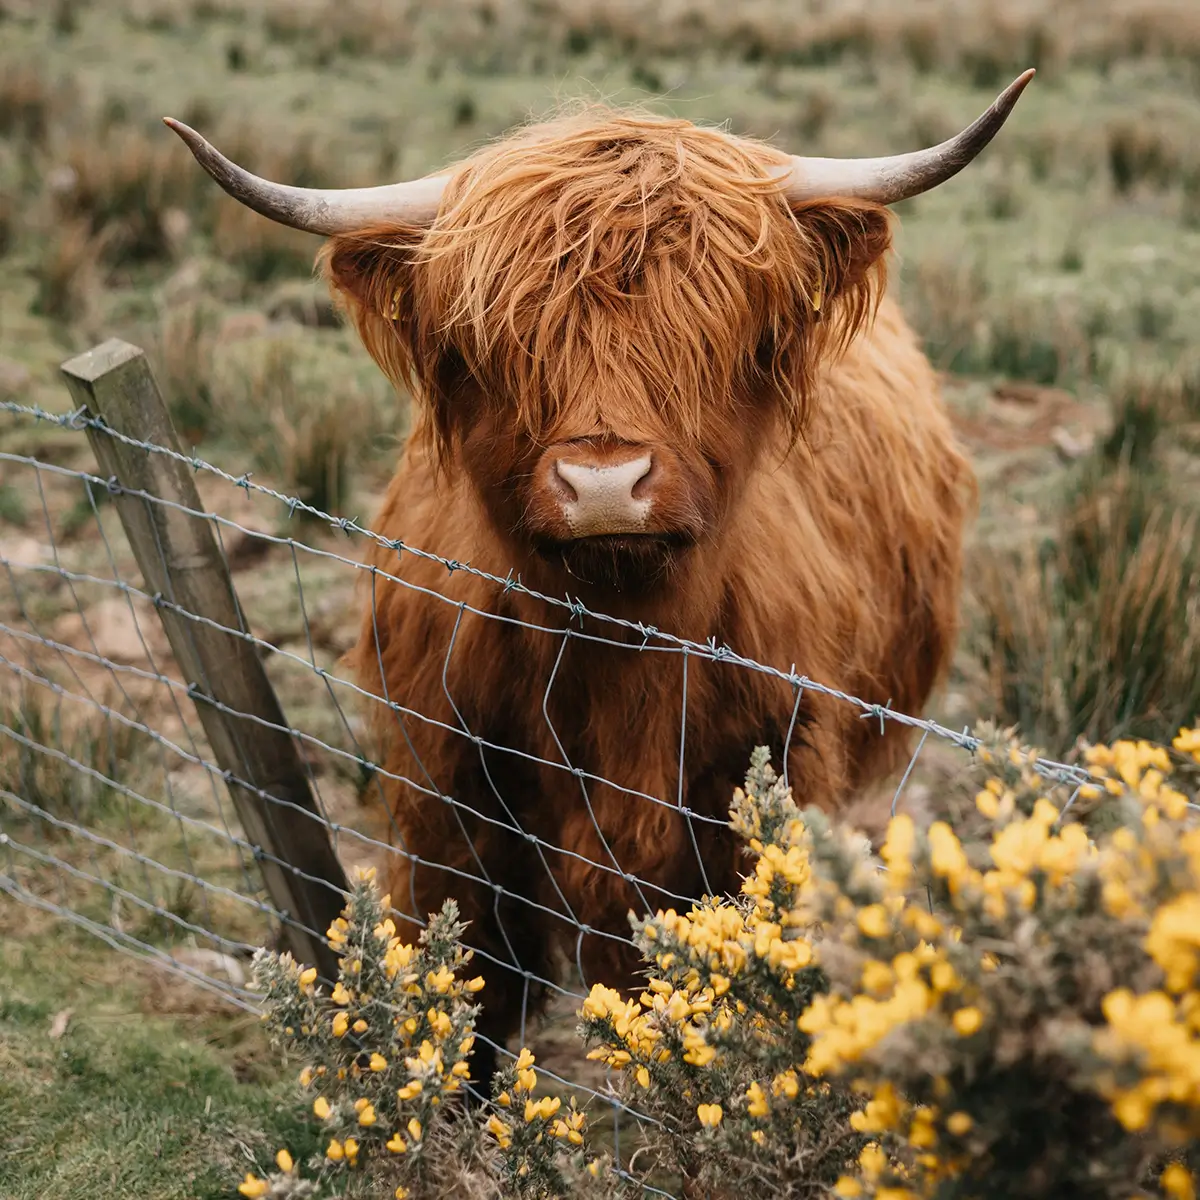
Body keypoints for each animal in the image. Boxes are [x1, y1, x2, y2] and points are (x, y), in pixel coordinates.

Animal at [167, 70, 1033, 1097]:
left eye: (715, 332)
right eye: (498, 340)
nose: (606, 484)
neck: (615, 657)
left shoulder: (763, 793)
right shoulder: (451, 806)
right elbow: (474, 990)